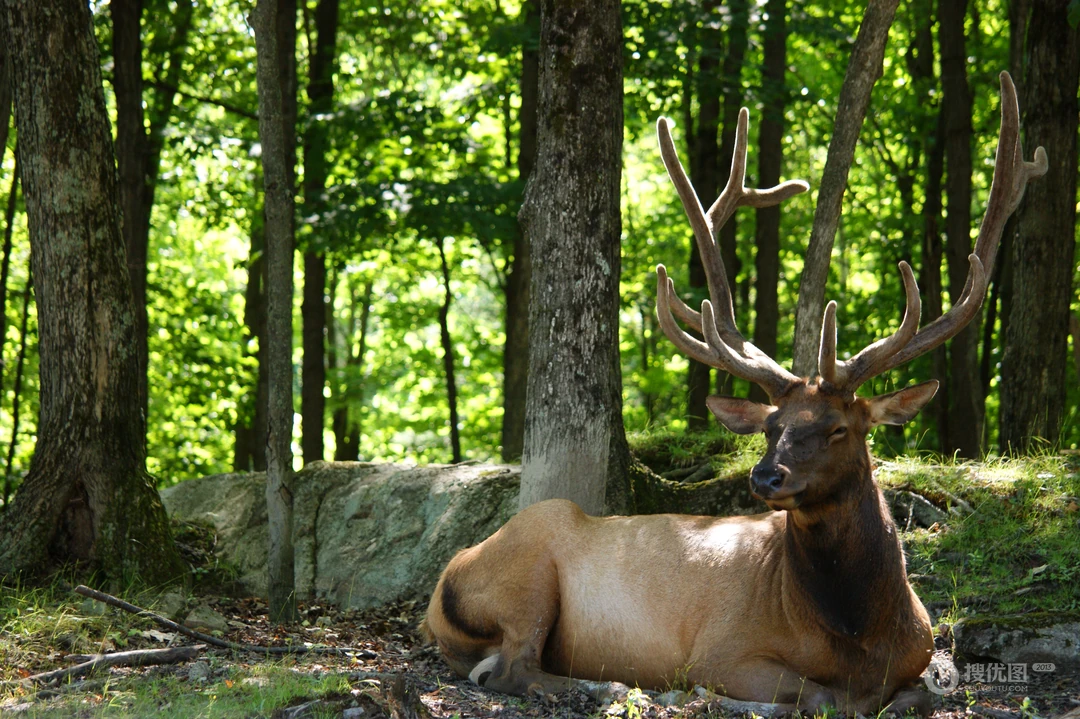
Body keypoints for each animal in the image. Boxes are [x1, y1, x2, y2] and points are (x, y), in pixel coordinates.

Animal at [422, 72, 1046, 716]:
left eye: (839, 428)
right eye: (770, 427)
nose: (766, 477)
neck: (862, 636)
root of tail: (438, 591)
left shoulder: (922, 657)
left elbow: (909, 696)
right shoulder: (724, 650)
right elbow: (823, 696)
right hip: (527, 568)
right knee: (513, 670)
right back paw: (612, 685)